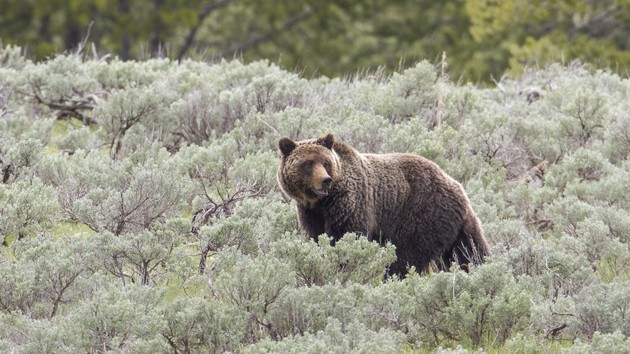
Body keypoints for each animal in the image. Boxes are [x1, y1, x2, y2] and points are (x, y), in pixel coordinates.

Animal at [278, 133, 494, 276]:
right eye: (307, 163)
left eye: (325, 162)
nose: (325, 180)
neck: (321, 202)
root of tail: (457, 187)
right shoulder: (311, 213)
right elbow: (318, 237)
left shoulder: (351, 203)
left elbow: (347, 236)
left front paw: (344, 266)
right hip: (456, 226)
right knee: (469, 251)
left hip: (421, 215)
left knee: (406, 256)